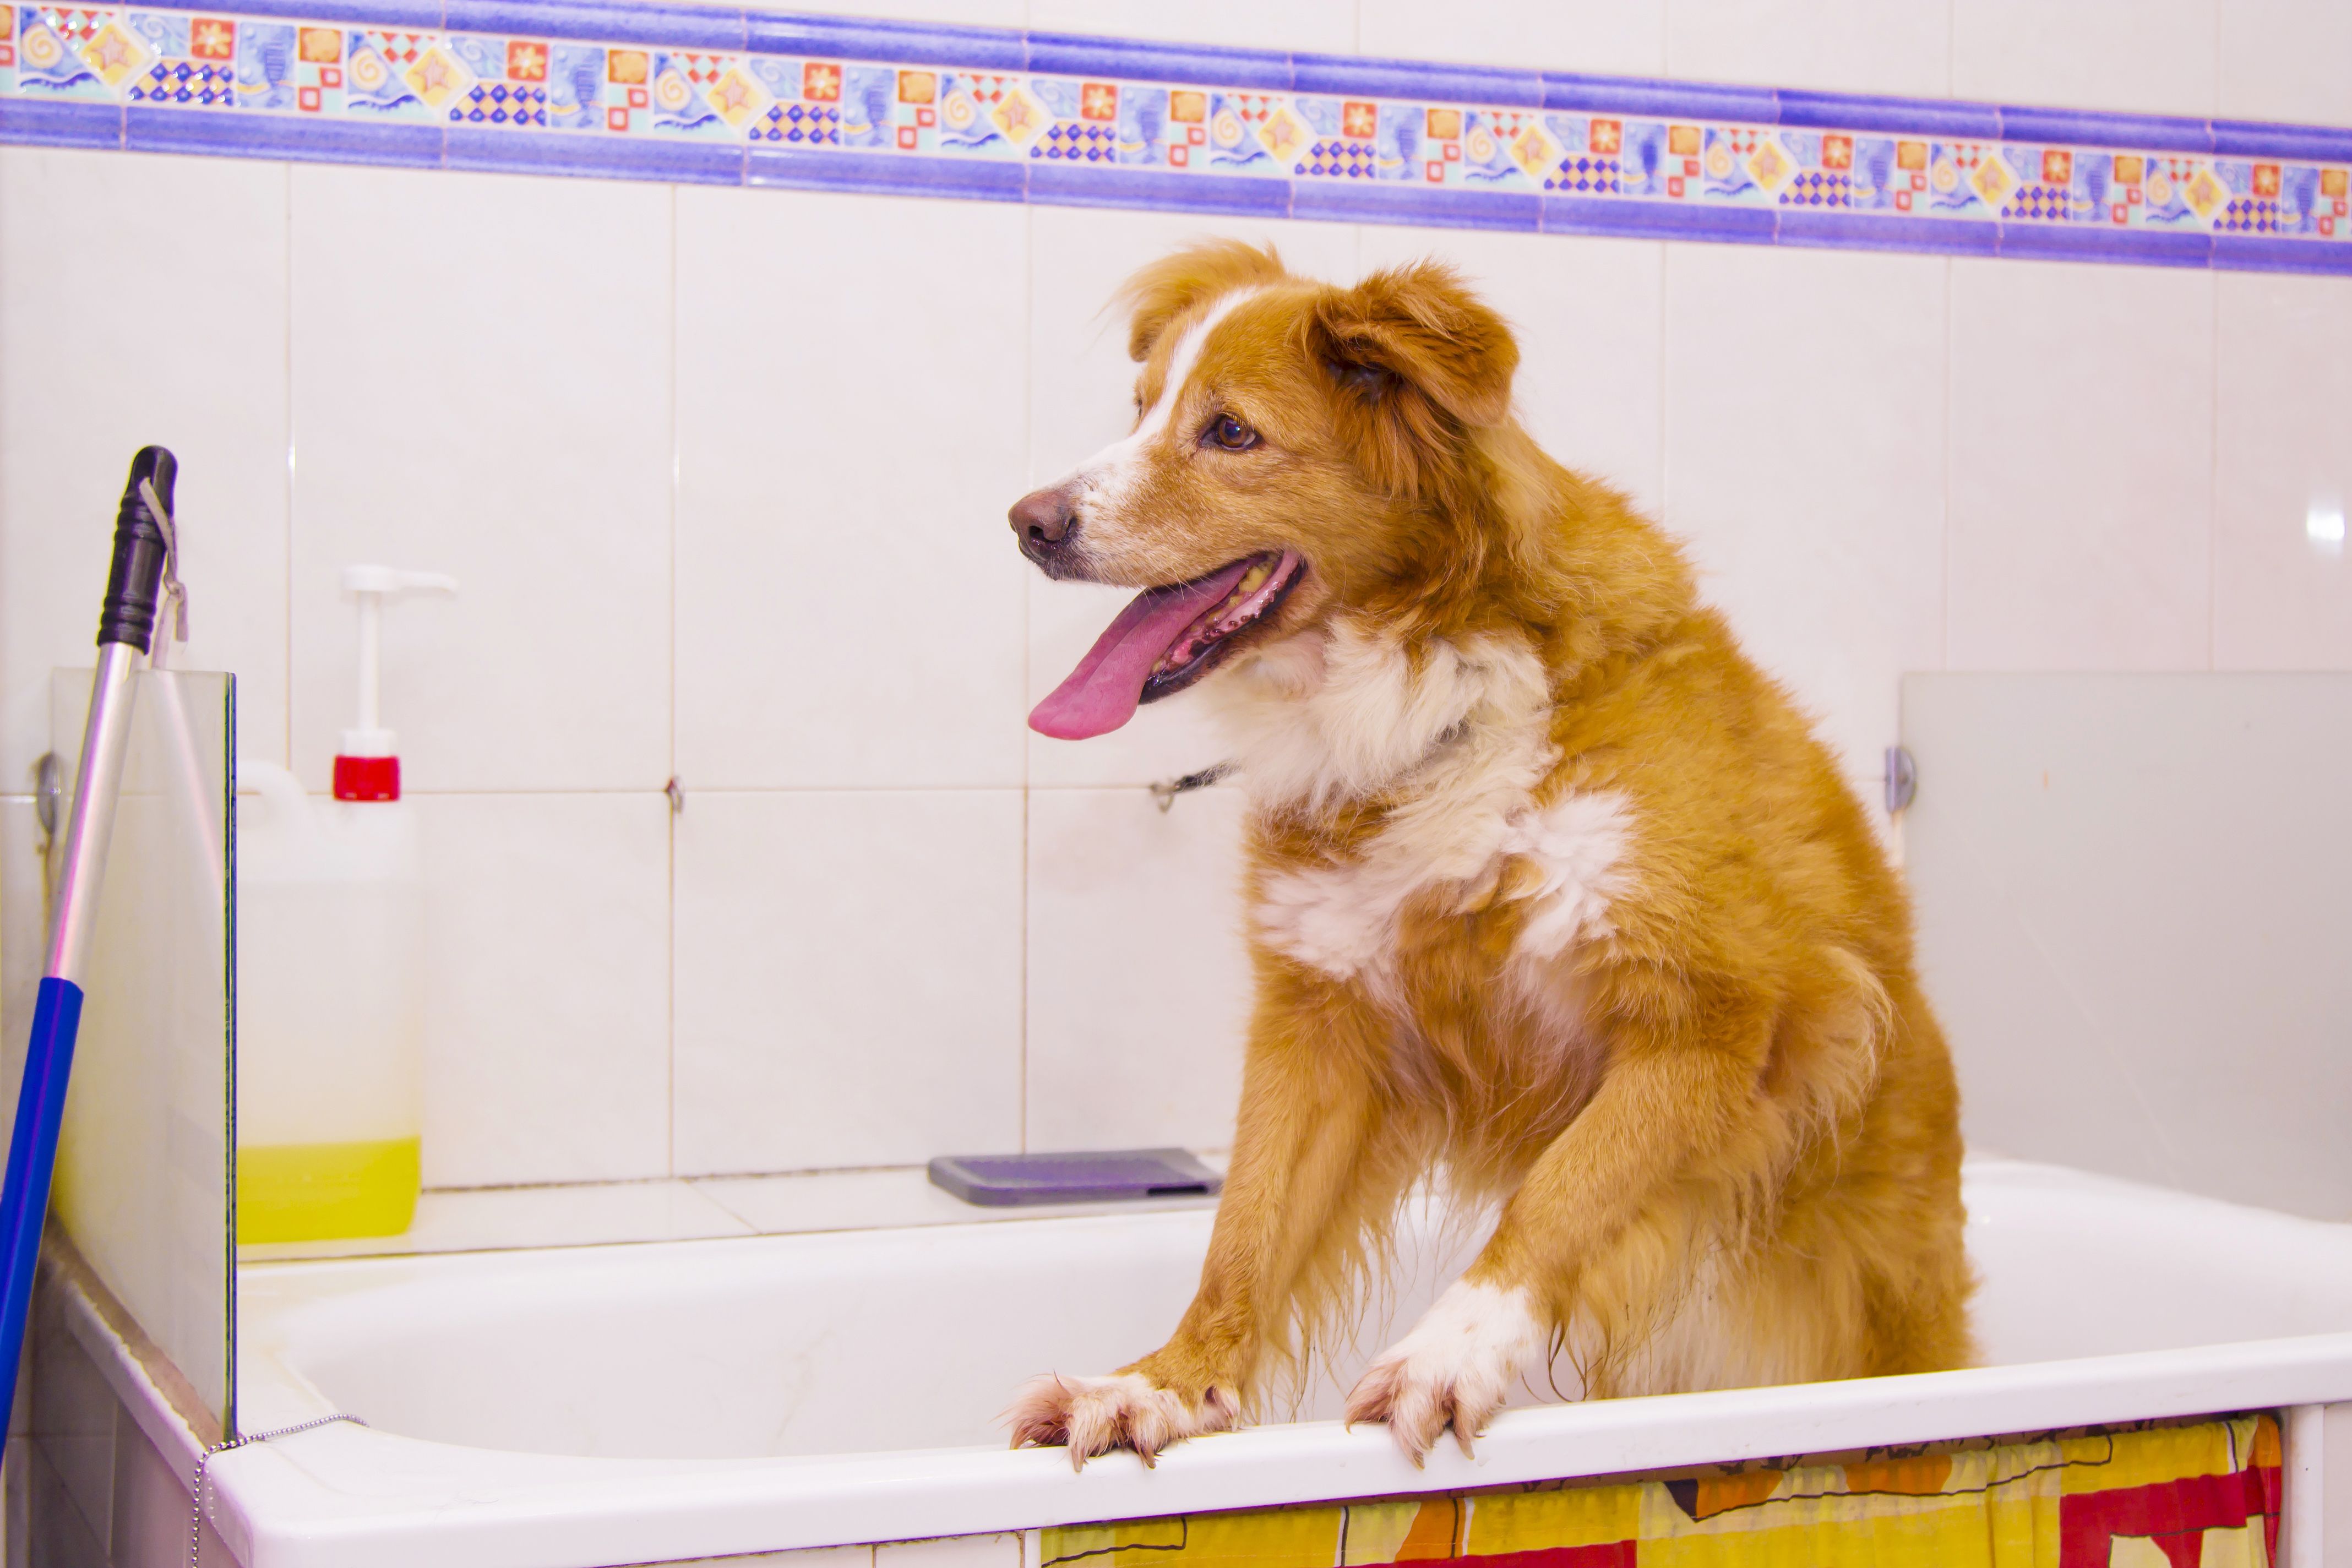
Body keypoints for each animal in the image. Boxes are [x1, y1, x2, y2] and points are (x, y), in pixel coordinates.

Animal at [1001, 242, 1975, 1476]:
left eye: (1229, 432)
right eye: (1139, 411)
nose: (1026, 520)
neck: (1432, 702)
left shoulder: (1720, 1023)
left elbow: (1560, 1192)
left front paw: (1447, 1354)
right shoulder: (1320, 1022)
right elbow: (1244, 1229)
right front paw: (1163, 1382)